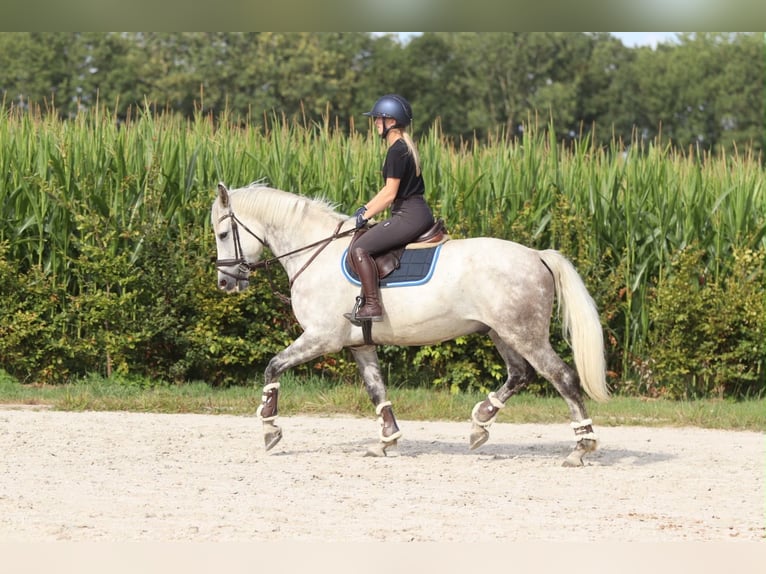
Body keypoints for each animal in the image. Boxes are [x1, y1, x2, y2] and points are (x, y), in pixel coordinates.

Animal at [212, 182, 610, 467]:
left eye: (221, 234)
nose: (225, 283)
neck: (315, 252)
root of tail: (537, 255)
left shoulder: (321, 338)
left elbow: (272, 367)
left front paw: (269, 428)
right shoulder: (359, 344)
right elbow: (377, 389)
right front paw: (387, 441)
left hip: (524, 333)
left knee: (562, 377)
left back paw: (580, 448)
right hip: (502, 332)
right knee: (520, 375)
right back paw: (479, 425)